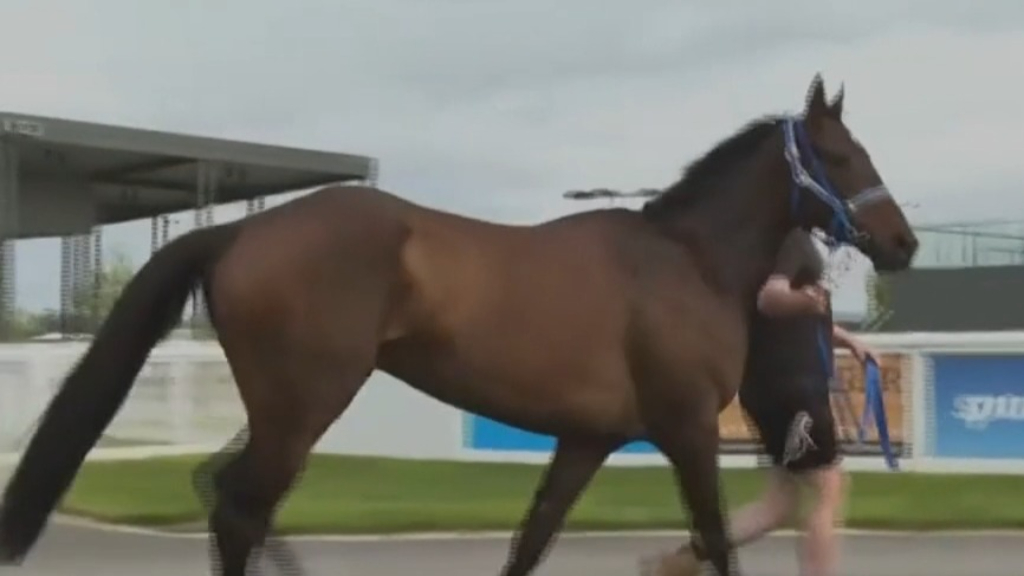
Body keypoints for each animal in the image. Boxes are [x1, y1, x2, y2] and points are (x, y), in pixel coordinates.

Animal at [0, 72, 917, 573]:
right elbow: (719, 541)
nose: (902, 242)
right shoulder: (687, 428)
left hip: (284, 407)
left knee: (231, 498)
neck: (686, 261)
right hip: (304, 404)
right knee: (237, 508)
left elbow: (532, 540)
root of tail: (241, 231)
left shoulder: (587, 438)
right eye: (842, 156)